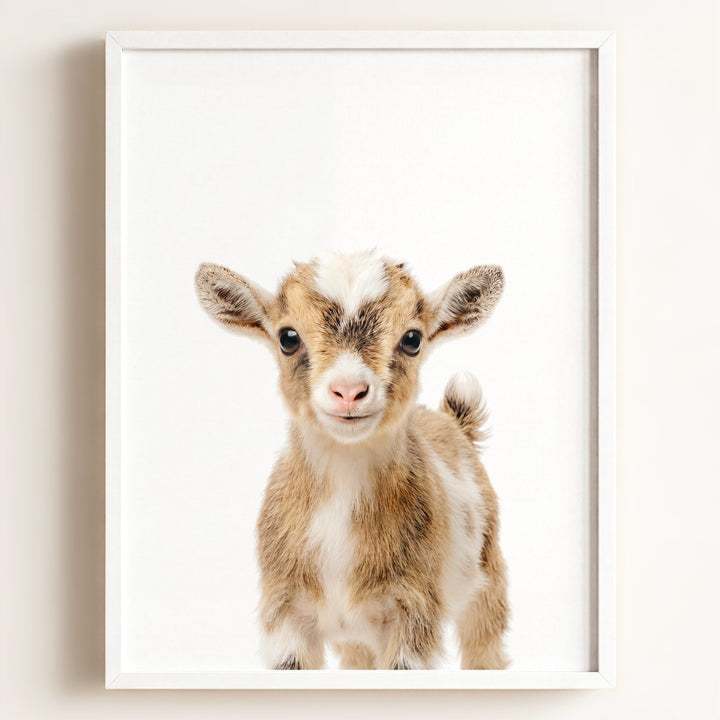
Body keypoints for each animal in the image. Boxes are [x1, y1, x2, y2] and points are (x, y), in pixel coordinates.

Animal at [195, 250, 509, 670]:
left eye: (412, 339)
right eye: (288, 337)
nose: (348, 391)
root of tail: (453, 421)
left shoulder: (413, 612)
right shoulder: (285, 614)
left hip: (488, 578)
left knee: (485, 645)